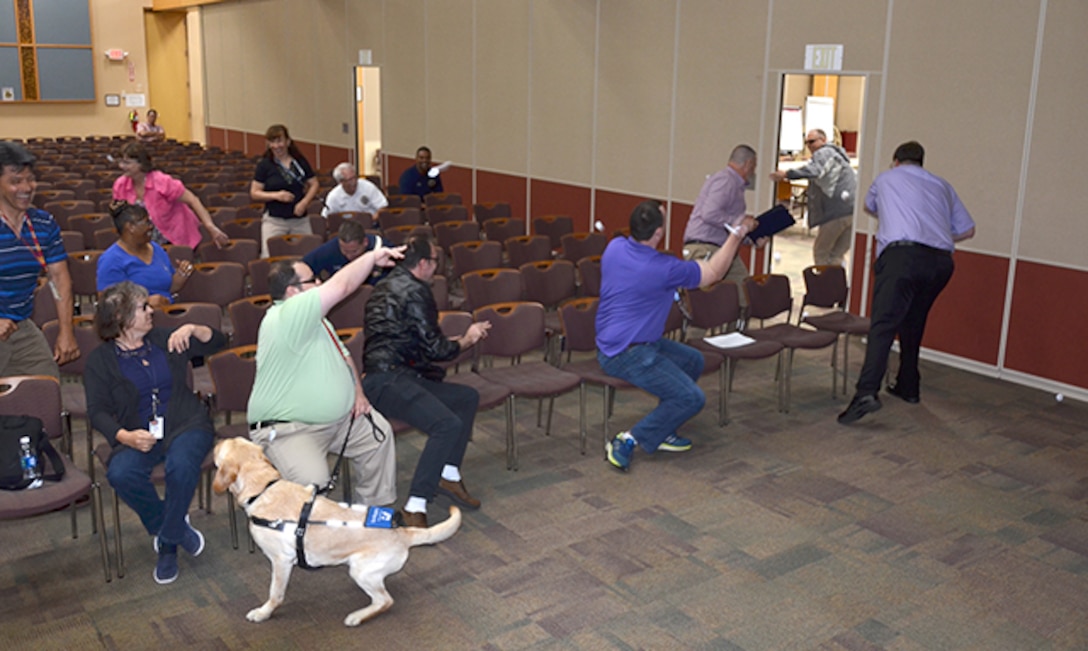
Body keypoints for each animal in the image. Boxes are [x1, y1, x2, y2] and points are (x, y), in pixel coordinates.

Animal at [213, 439, 463, 627]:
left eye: (221, 447)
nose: (215, 440)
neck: (263, 488)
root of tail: (403, 532)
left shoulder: (280, 560)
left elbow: (275, 593)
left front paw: (263, 613)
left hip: (361, 570)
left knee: (386, 601)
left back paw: (357, 616)